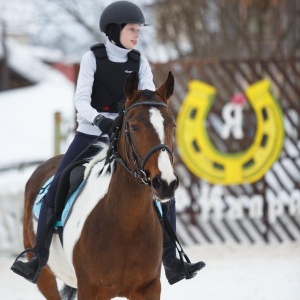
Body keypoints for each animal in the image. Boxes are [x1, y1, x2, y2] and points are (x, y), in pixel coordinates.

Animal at [20, 71, 178, 298]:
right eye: (133, 126)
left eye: (172, 125)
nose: (165, 183)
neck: (126, 225)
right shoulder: (90, 289)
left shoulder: (149, 288)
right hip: (45, 277)